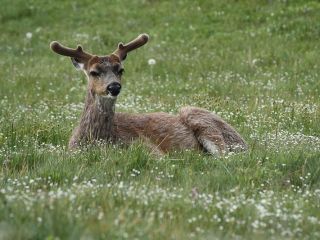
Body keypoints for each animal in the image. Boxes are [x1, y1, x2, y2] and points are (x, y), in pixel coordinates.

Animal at [50, 32, 248, 156]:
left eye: (120, 70)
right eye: (93, 72)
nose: (114, 87)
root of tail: (245, 143)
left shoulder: (148, 148)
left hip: (199, 117)